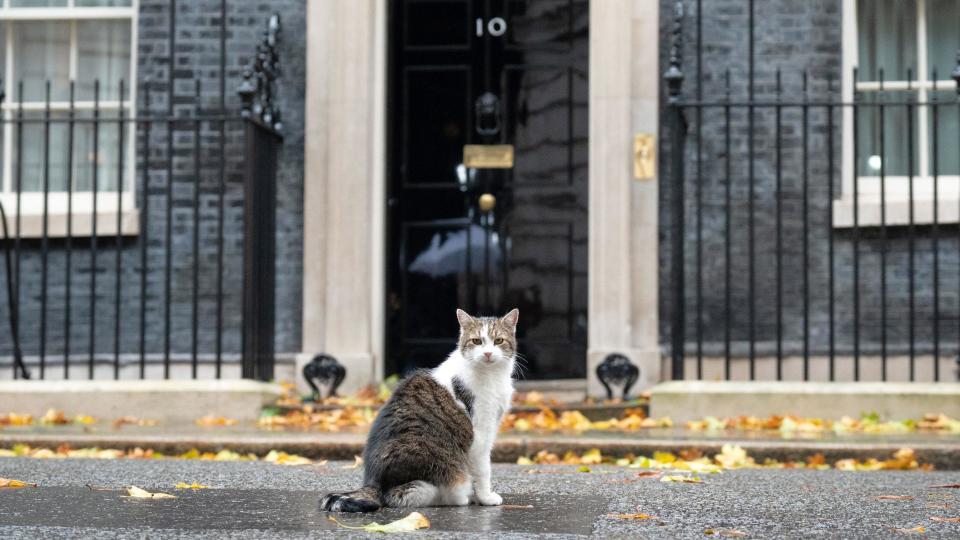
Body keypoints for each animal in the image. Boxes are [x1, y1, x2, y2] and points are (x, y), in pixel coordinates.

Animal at [318, 308, 516, 510]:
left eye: (498, 340)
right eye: (476, 341)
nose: (488, 353)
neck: (492, 375)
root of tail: (374, 482)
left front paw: (479, 497)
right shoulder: (481, 434)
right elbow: (484, 470)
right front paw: (486, 498)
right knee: (412, 493)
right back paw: (460, 497)